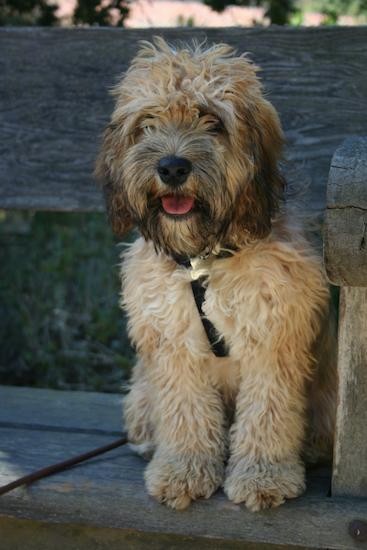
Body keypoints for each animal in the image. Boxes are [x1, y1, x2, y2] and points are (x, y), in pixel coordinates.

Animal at [96, 37, 338, 512]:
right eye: (148, 123)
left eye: (212, 121)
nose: (172, 168)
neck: (204, 260)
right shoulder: (174, 342)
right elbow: (185, 410)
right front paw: (183, 471)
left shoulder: (273, 338)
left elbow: (268, 411)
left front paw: (264, 476)